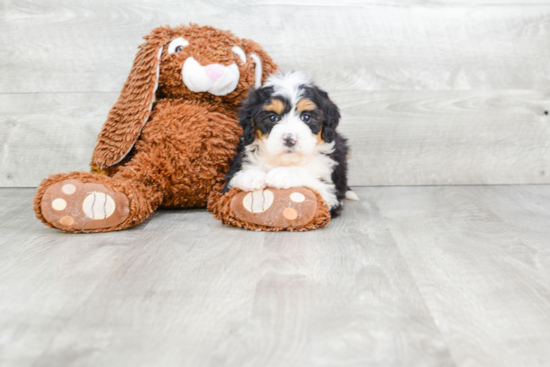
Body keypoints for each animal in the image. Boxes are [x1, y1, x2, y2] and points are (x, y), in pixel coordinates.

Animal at [224, 72, 358, 218]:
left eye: (306, 117)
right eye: (273, 118)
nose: (289, 139)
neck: (286, 160)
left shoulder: (331, 194)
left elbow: (312, 180)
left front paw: (283, 174)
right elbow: (234, 179)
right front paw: (251, 176)